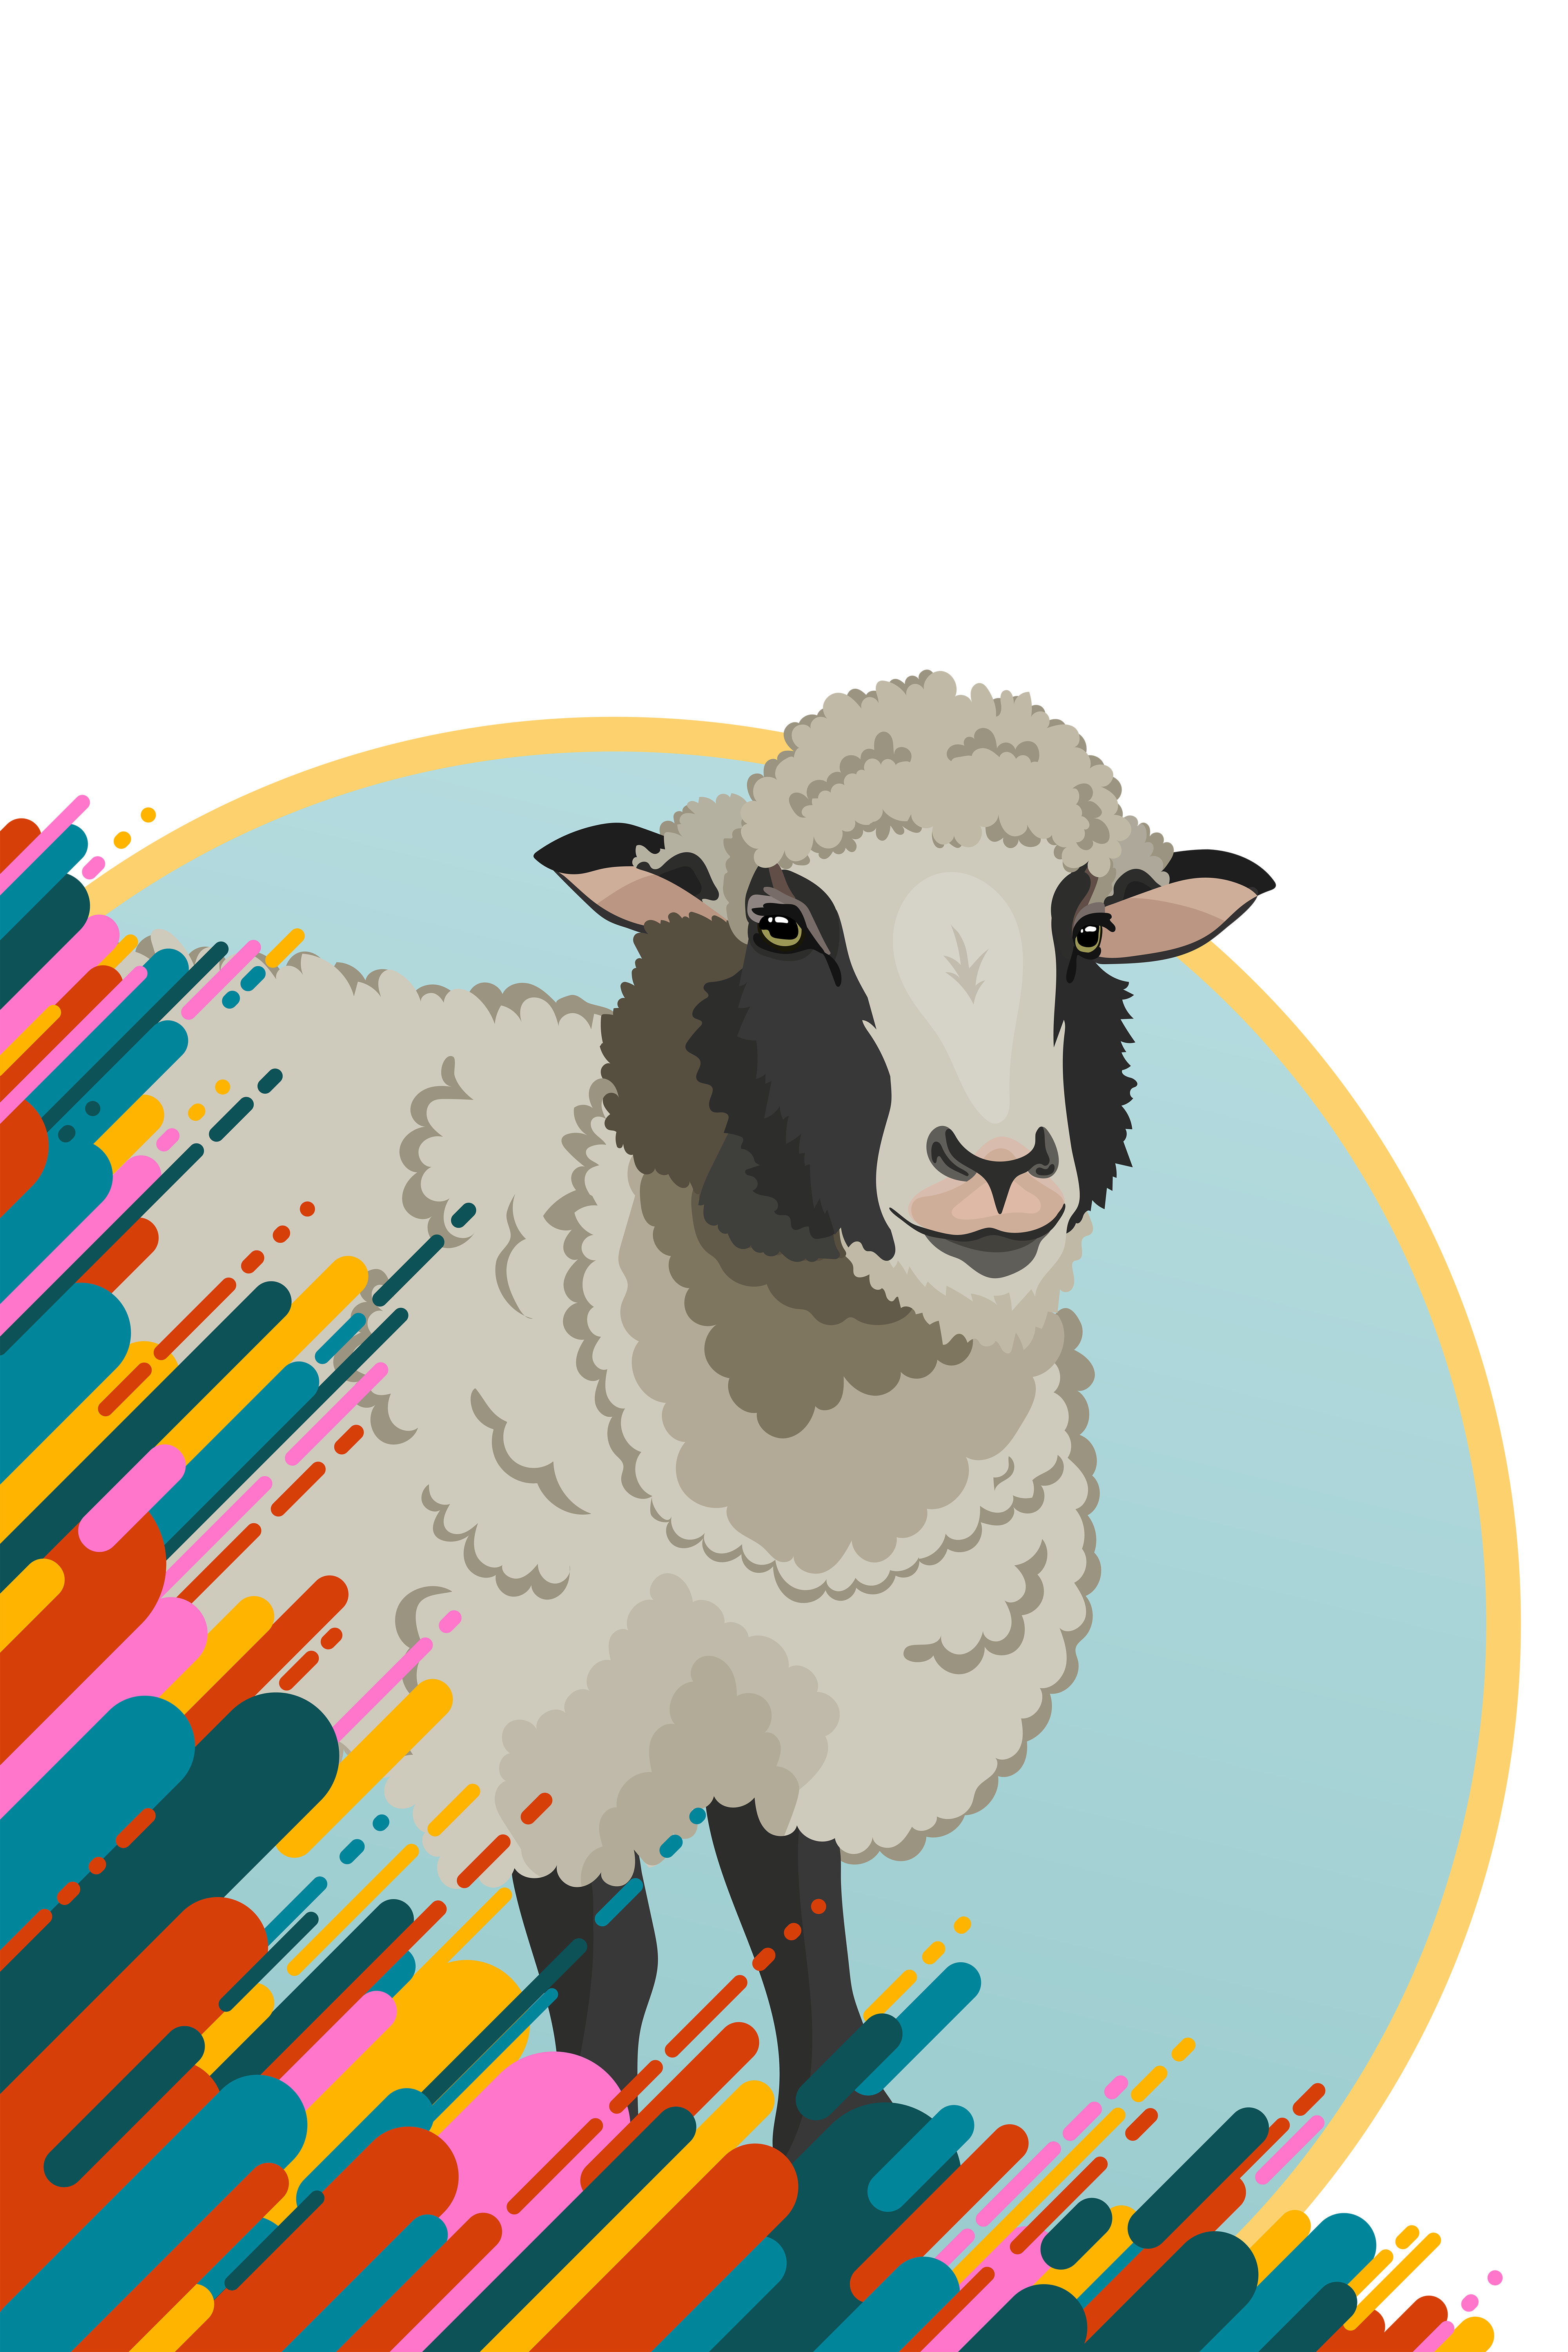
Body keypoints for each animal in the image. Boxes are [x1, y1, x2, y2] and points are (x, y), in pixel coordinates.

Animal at [119, 668, 1320, 2149]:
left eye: (1089, 932)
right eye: (780, 922)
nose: (994, 1169)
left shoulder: (794, 1702)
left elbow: (805, 1945)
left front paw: (832, 2174)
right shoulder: (543, 1715)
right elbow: (613, 1974)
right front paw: (588, 2169)